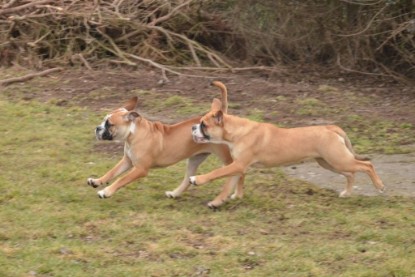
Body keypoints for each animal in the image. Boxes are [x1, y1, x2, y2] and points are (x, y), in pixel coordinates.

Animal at [87, 81, 244, 206]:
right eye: (104, 120)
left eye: (109, 124)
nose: (97, 128)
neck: (134, 134)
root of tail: (222, 116)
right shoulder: (127, 161)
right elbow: (112, 172)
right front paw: (97, 181)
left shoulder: (140, 169)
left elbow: (121, 179)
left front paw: (106, 192)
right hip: (194, 159)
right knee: (188, 178)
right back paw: (175, 194)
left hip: (227, 158)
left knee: (238, 172)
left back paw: (237, 194)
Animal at [191, 97, 386, 201]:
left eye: (204, 125)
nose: (193, 127)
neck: (237, 131)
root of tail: (331, 128)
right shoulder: (240, 166)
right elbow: (239, 181)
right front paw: (237, 196)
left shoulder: (238, 165)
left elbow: (216, 172)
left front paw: (197, 179)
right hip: (330, 163)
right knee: (351, 174)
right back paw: (347, 193)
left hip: (339, 160)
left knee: (367, 165)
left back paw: (379, 186)